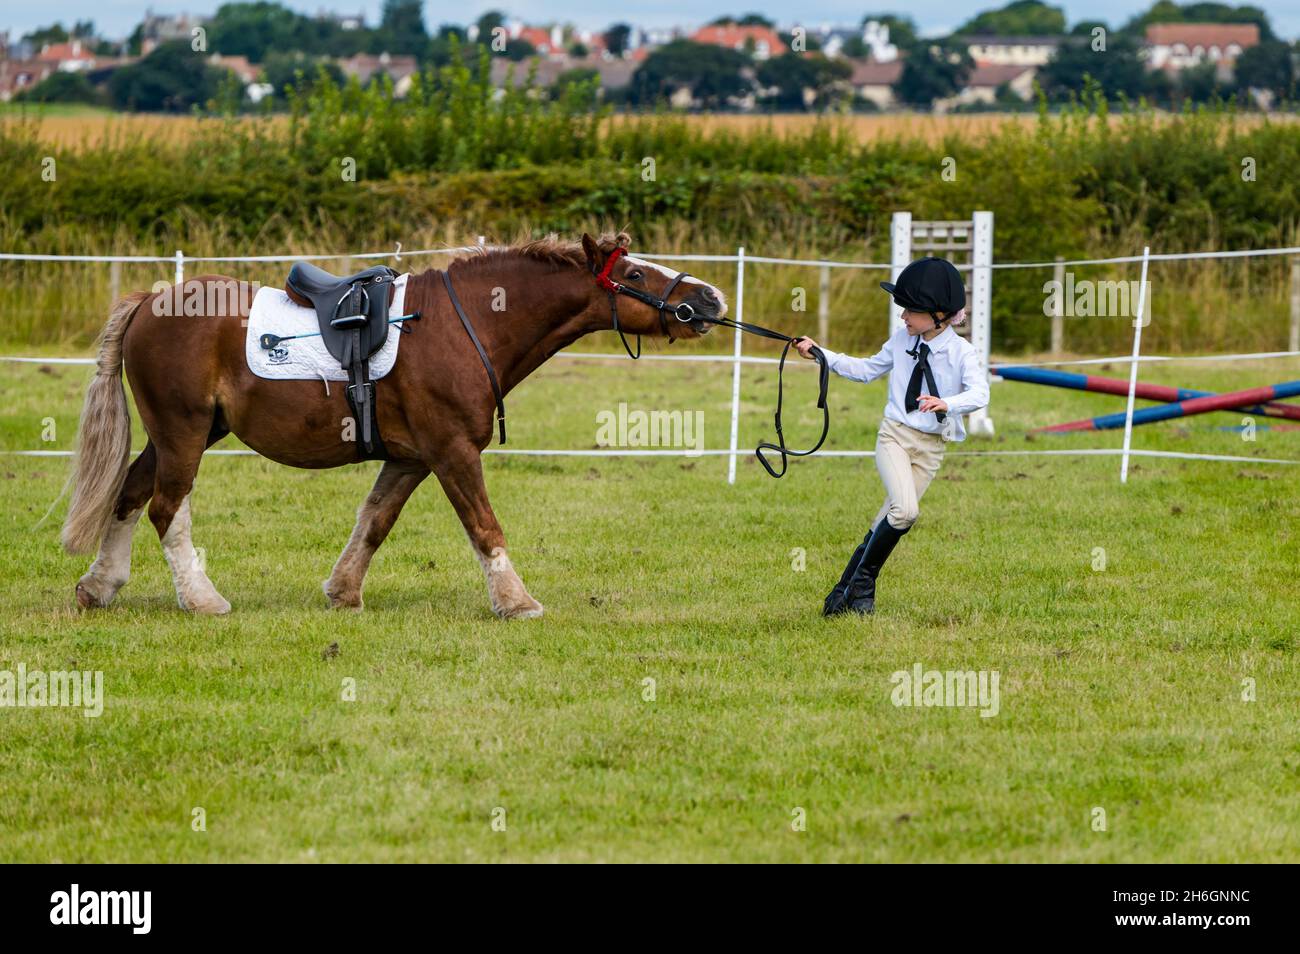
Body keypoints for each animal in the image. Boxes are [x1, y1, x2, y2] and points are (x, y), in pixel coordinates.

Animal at [61, 232, 727, 619]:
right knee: (166, 507)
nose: (711, 300)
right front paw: (516, 602)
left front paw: (343, 592)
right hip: (185, 432)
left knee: (129, 495)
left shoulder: (411, 458)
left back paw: (100, 586)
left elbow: (375, 522)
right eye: (633, 275)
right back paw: (200, 599)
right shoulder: (453, 452)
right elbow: (485, 527)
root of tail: (149, 302)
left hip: (184, 433)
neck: (467, 322)